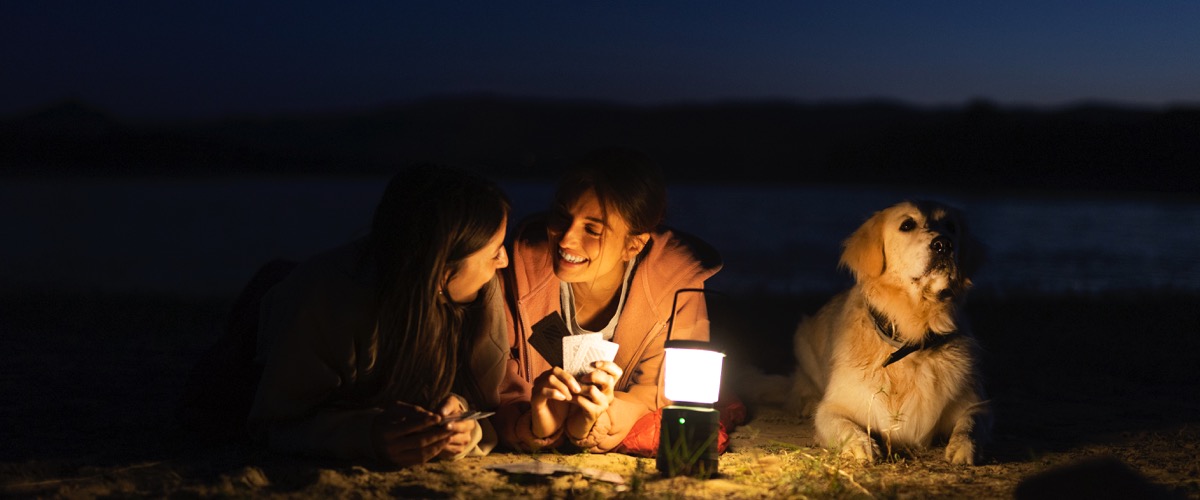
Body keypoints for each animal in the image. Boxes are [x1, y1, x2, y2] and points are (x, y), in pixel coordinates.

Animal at [792, 199, 988, 462]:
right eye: (907, 225)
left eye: (951, 226)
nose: (943, 244)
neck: (912, 341)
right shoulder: (833, 407)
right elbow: (843, 425)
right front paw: (862, 445)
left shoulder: (975, 402)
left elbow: (971, 423)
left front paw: (964, 447)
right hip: (802, 341)